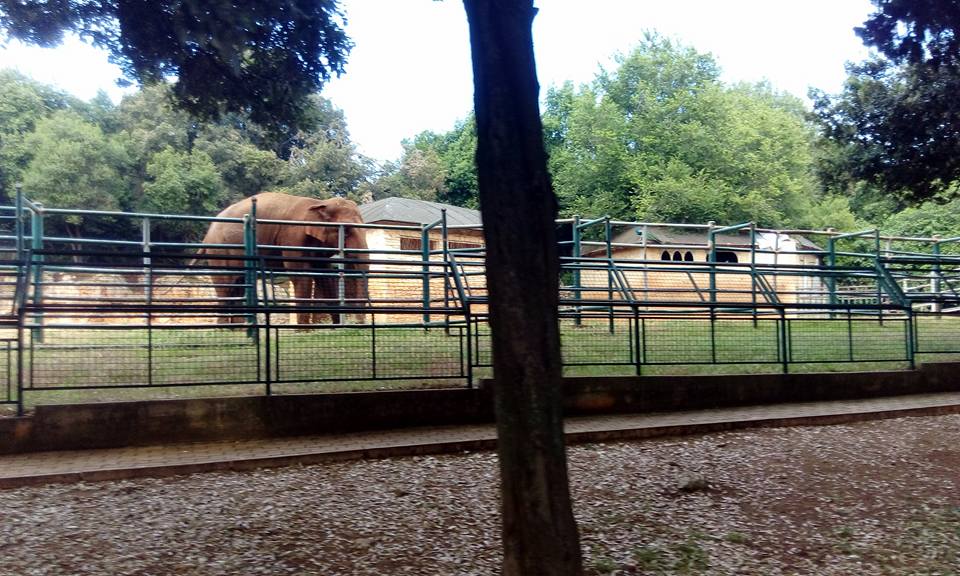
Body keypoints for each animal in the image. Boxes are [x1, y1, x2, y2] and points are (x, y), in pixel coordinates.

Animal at [197, 192, 370, 324]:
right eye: (346, 231)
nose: (358, 325)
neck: (319, 203)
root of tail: (207, 235)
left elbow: (324, 277)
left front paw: (334, 328)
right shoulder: (292, 236)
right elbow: (301, 276)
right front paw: (303, 332)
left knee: (238, 284)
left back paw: (236, 330)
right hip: (220, 250)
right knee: (226, 285)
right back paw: (225, 330)